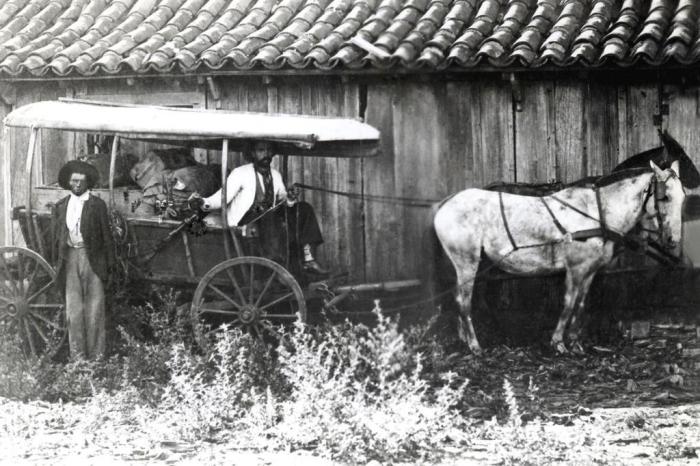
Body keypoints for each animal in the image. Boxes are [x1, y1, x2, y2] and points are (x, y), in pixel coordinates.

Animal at [438, 162, 684, 354]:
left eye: (683, 197)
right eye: (665, 196)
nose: (674, 240)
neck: (596, 212)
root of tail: (445, 204)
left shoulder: (590, 270)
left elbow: (581, 303)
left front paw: (575, 342)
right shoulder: (575, 268)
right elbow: (568, 303)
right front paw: (558, 343)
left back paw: (464, 338)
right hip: (467, 262)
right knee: (464, 301)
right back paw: (474, 345)